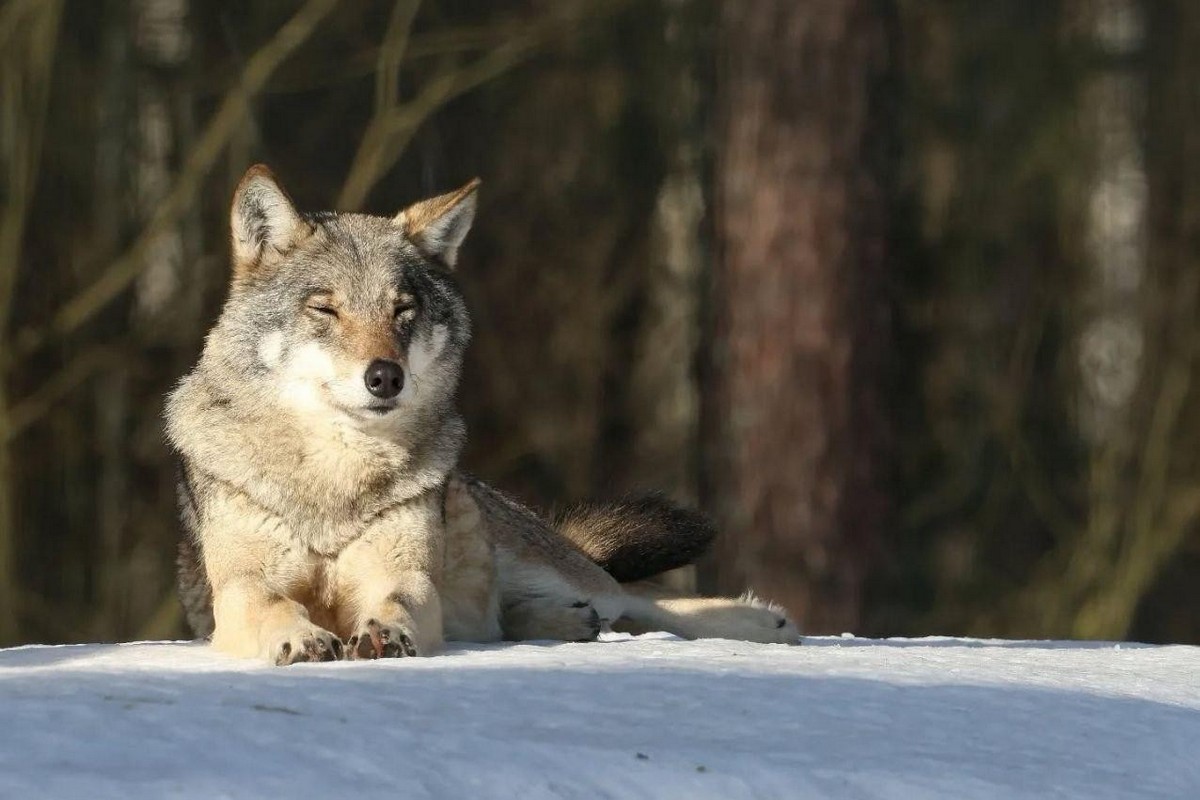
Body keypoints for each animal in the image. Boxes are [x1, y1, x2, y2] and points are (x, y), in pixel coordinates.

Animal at [165, 165, 799, 665]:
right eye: (326, 310)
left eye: (404, 310)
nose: (385, 376)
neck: (335, 477)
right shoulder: (241, 588)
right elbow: (272, 602)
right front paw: (301, 638)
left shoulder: (405, 577)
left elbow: (399, 599)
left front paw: (385, 632)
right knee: (555, 616)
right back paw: (568, 623)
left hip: (545, 566)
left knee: (637, 598)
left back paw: (763, 623)